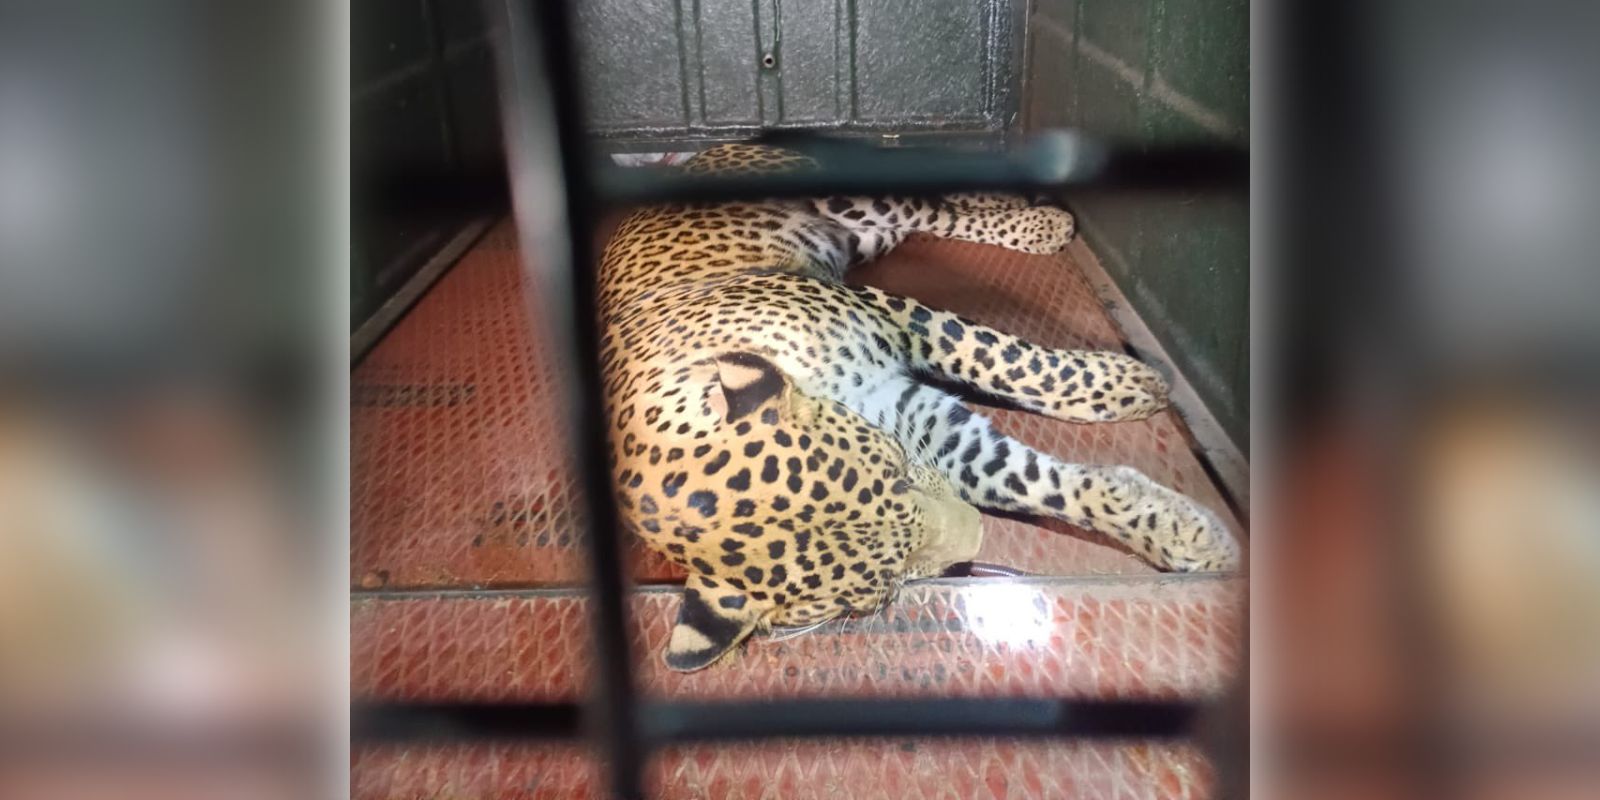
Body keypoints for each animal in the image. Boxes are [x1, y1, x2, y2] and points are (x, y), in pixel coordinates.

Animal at [599, 141, 1241, 671]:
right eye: (884, 585)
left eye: (899, 473)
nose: (977, 543)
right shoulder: (908, 411)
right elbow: (1027, 478)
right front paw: (1181, 534)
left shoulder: (889, 315)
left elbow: (1004, 360)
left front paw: (1126, 384)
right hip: (863, 236)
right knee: (932, 216)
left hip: (845, 199)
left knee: (932, 204)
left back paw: (1041, 218)